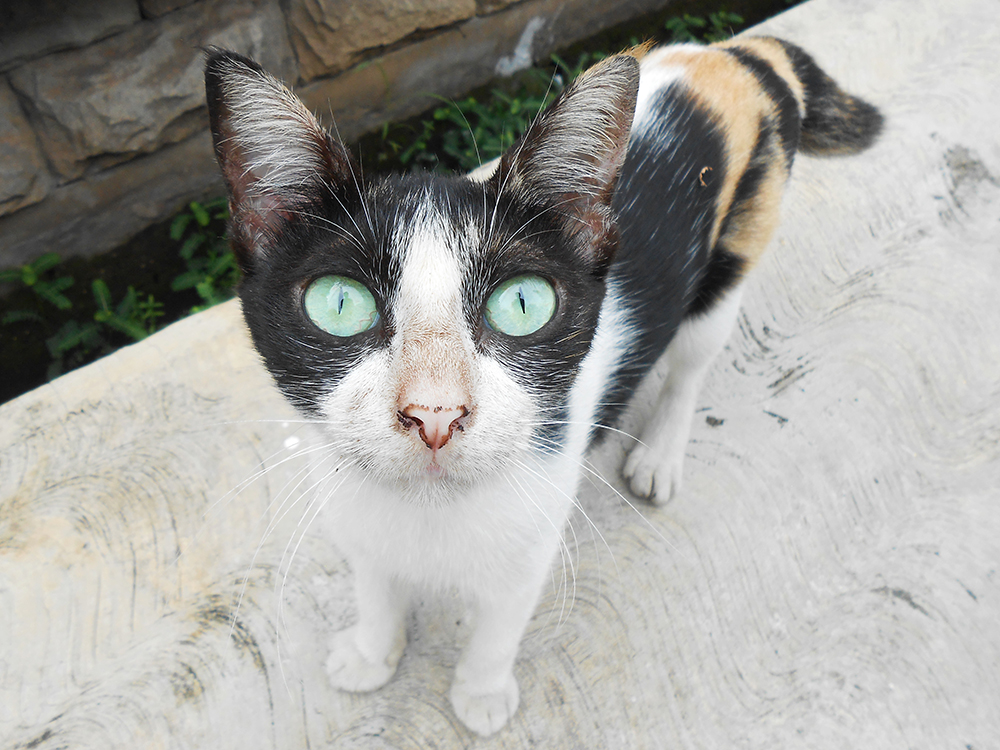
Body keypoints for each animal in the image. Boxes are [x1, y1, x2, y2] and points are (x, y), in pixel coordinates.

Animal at [205, 38, 884, 736]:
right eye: (339, 304)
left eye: (523, 304)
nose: (435, 413)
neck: (431, 514)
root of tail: (731, 54)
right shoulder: (353, 509)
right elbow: (374, 580)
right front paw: (371, 652)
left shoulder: (533, 533)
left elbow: (503, 619)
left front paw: (480, 693)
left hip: (737, 244)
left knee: (694, 357)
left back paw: (662, 452)